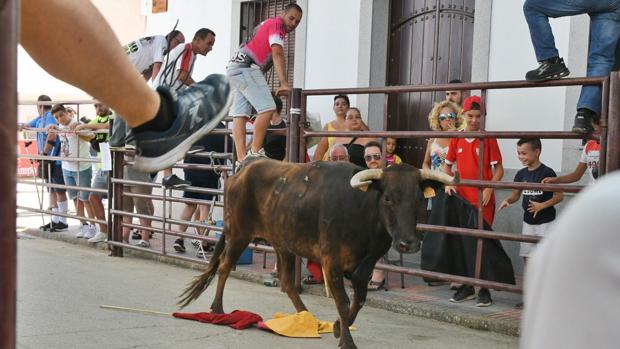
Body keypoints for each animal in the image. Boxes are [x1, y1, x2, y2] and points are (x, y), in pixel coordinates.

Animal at [177, 159, 458, 346]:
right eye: (388, 198)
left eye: (420, 199)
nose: (408, 243)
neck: (363, 212)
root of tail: (243, 169)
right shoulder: (331, 260)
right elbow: (343, 301)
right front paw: (346, 341)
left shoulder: (365, 265)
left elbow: (359, 299)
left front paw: (337, 327)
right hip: (238, 234)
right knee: (225, 266)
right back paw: (217, 309)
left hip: (283, 244)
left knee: (288, 283)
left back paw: (307, 317)